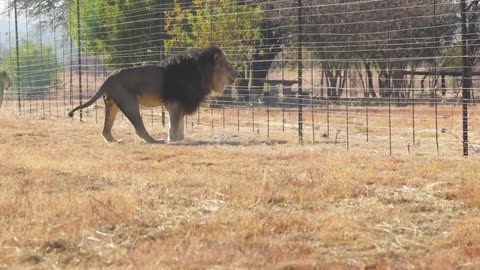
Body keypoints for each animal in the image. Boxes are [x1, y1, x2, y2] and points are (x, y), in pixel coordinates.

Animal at [67, 46, 240, 143]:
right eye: (226, 65)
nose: (237, 74)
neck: (202, 72)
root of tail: (109, 77)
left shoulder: (181, 103)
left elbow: (180, 122)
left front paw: (180, 137)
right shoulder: (174, 101)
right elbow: (174, 123)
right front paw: (173, 139)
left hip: (112, 105)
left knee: (105, 130)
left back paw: (115, 141)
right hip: (129, 102)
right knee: (139, 128)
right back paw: (156, 140)